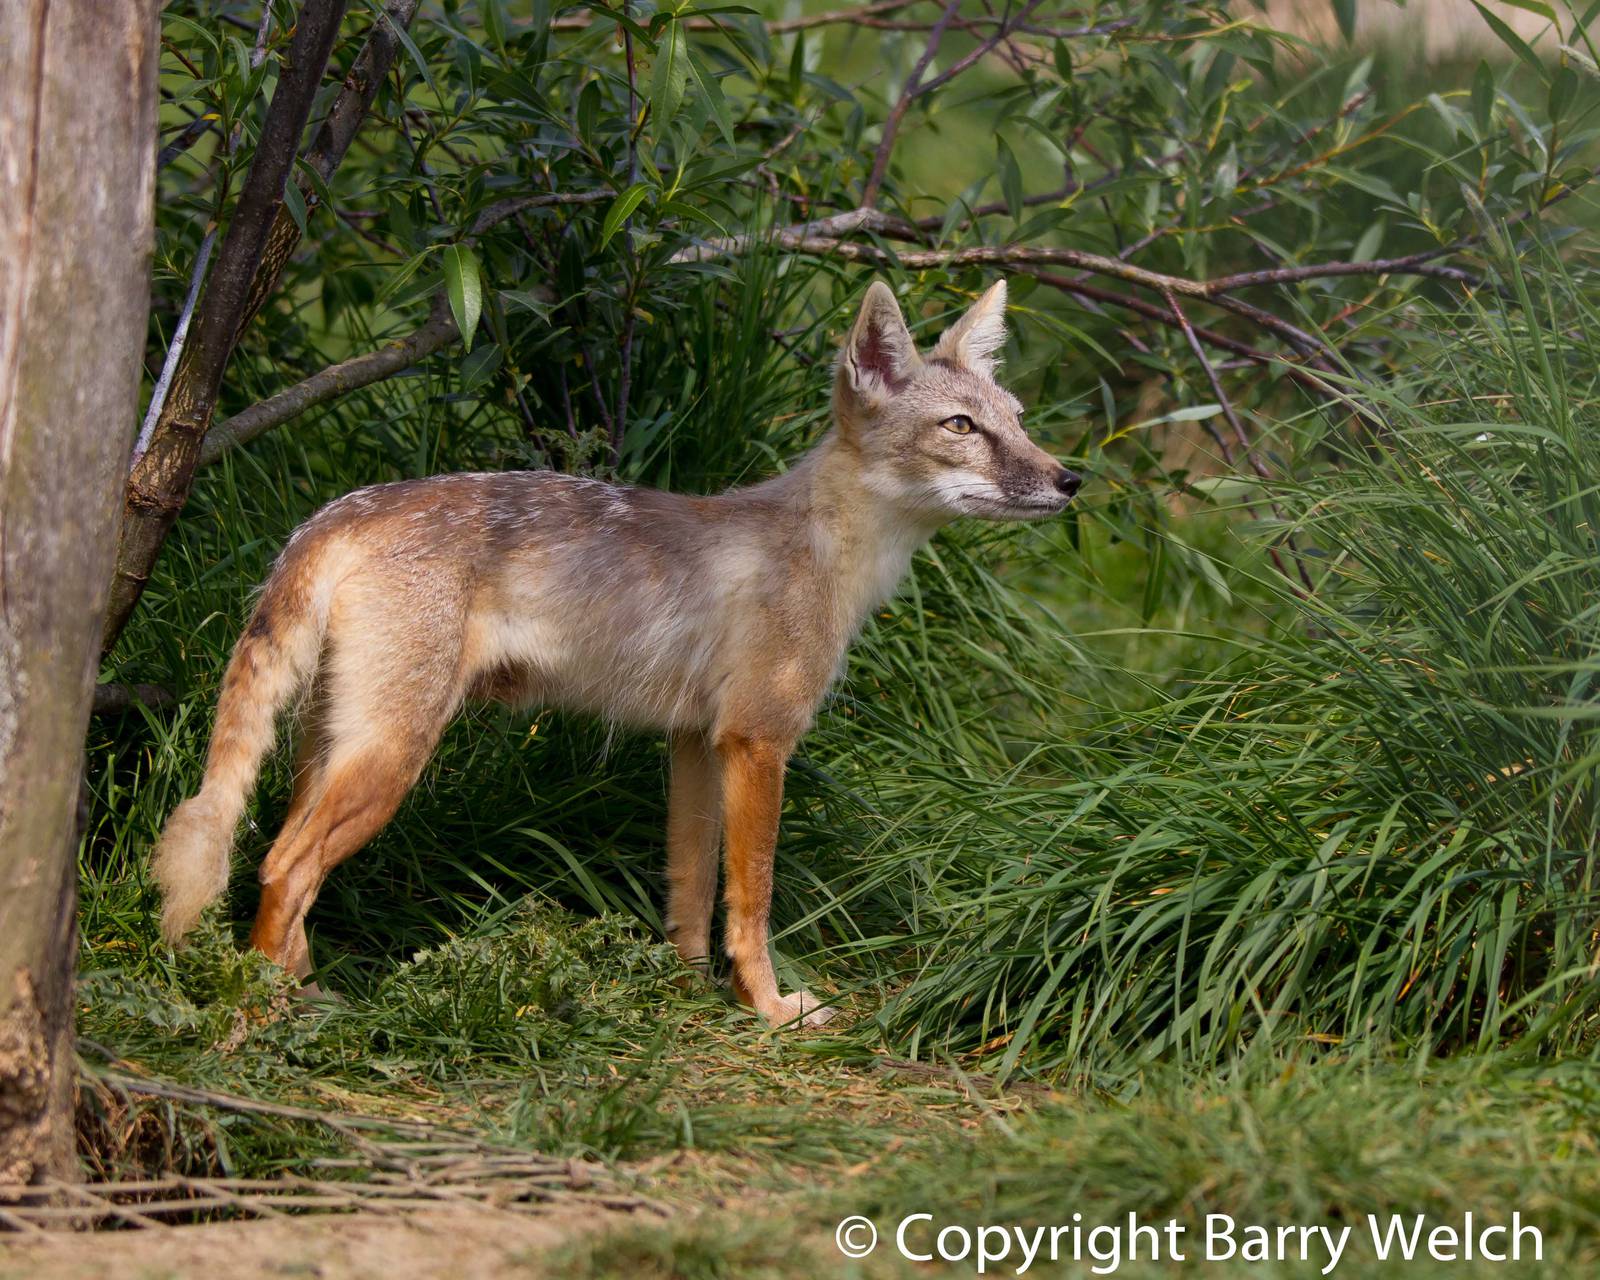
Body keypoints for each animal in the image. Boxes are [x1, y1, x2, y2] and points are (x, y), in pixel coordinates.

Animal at [151, 277, 1081, 1028]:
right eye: (960, 427)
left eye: (1018, 423)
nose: (1069, 481)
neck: (819, 549)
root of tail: (337, 512)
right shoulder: (759, 741)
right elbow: (752, 900)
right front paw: (769, 1009)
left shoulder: (696, 745)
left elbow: (693, 894)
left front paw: (687, 993)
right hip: (391, 758)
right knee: (281, 866)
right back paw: (268, 1017)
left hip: (334, 748)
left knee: (278, 863)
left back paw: (303, 994)